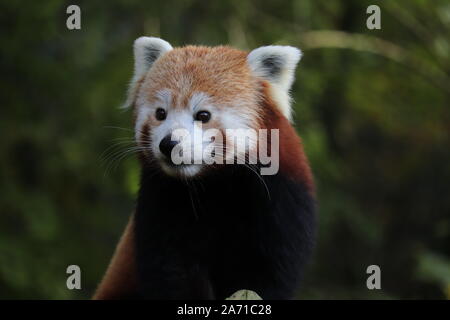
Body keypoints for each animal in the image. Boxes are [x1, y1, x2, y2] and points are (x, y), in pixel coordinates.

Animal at [93, 37, 314, 300]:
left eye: (203, 115)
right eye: (160, 113)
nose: (168, 144)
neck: (214, 184)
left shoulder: (281, 199)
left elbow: (270, 272)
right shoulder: (161, 202)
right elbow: (171, 271)